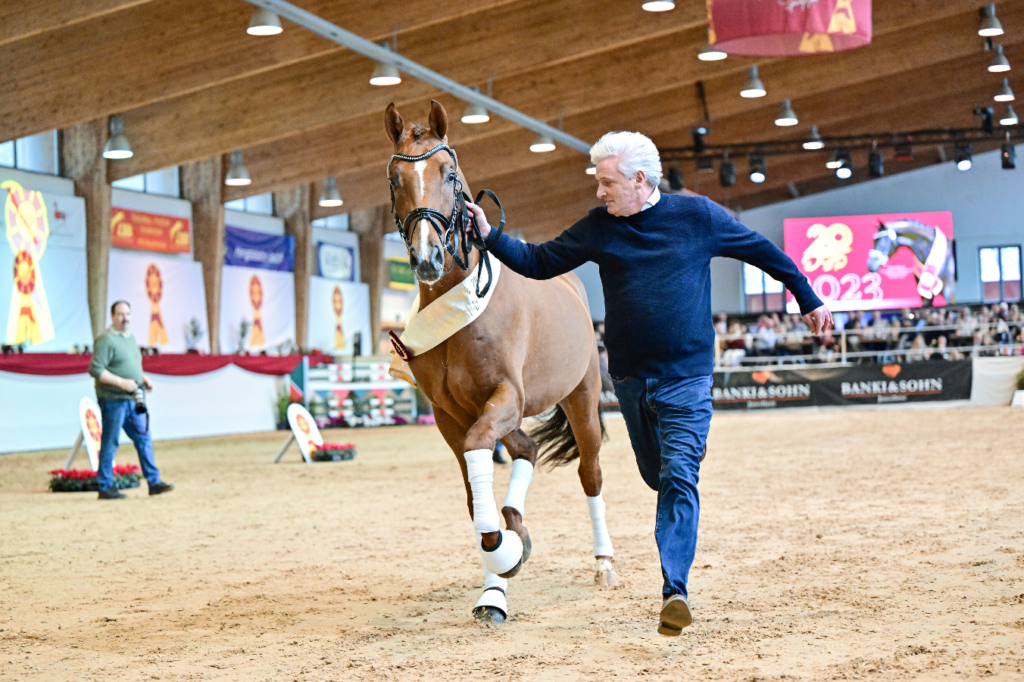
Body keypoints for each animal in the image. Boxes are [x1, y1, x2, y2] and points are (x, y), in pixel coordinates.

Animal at [382, 100, 606, 622]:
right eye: (395, 180)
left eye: (448, 174)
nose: (427, 258)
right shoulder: (449, 414)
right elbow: (474, 491)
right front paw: (498, 576)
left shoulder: (506, 396)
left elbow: (481, 449)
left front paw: (505, 550)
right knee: (526, 448)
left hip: (581, 399)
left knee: (589, 473)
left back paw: (604, 564)